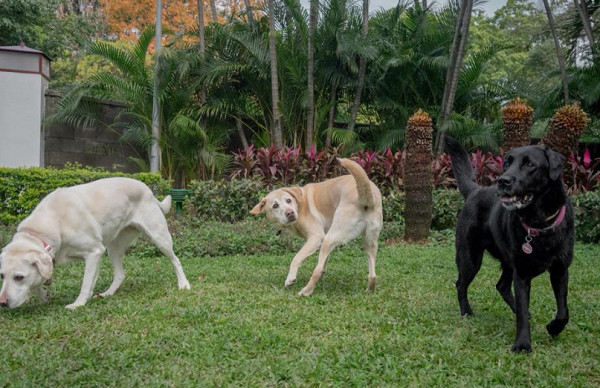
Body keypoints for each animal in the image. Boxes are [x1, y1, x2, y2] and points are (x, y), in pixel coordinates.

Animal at [0, 178, 190, 310]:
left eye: (19, 277)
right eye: (2, 276)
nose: (2, 302)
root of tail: (148, 190)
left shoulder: (94, 252)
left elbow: (85, 283)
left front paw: (78, 304)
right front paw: (44, 295)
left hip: (159, 237)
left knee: (176, 260)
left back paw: (183, 284)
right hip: (113, 248)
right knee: (120, 274)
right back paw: (108, 293)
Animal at [250, 159, 382, 296]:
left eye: (288, 200)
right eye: (275, 206)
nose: (290, 213)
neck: (300, 204)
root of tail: (367, 197)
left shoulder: (317, 237)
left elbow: (296, 258)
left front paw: (291, 278)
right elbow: (324, 261)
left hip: (330, 237)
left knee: (316, 271)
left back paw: (306, 291)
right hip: (370, 242)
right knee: (373, 275)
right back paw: (369, 290)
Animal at [448, 138, 576, 354]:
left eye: (530, 164)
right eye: (507, 163)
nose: (503, 181)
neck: (539, 225)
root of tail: (475, 190)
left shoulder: (560, 270)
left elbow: (563, 311)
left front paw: (554, 328)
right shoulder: (522, 274)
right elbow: (523, 313)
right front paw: (523, 344)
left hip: (508, 262)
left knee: (501, 286)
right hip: (471, 259)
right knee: (461, 284)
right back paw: (466, 311)